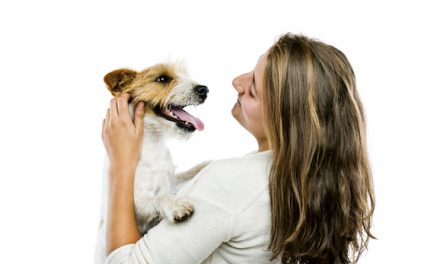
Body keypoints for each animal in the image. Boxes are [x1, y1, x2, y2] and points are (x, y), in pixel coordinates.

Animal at [97, 61, 211, 262]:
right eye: (162, 79)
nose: (204, 89)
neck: (153, 142)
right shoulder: (137, 206)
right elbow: (160, 196)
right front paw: (176, 205)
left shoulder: (170, 178)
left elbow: (182, 175)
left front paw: (204, 165)